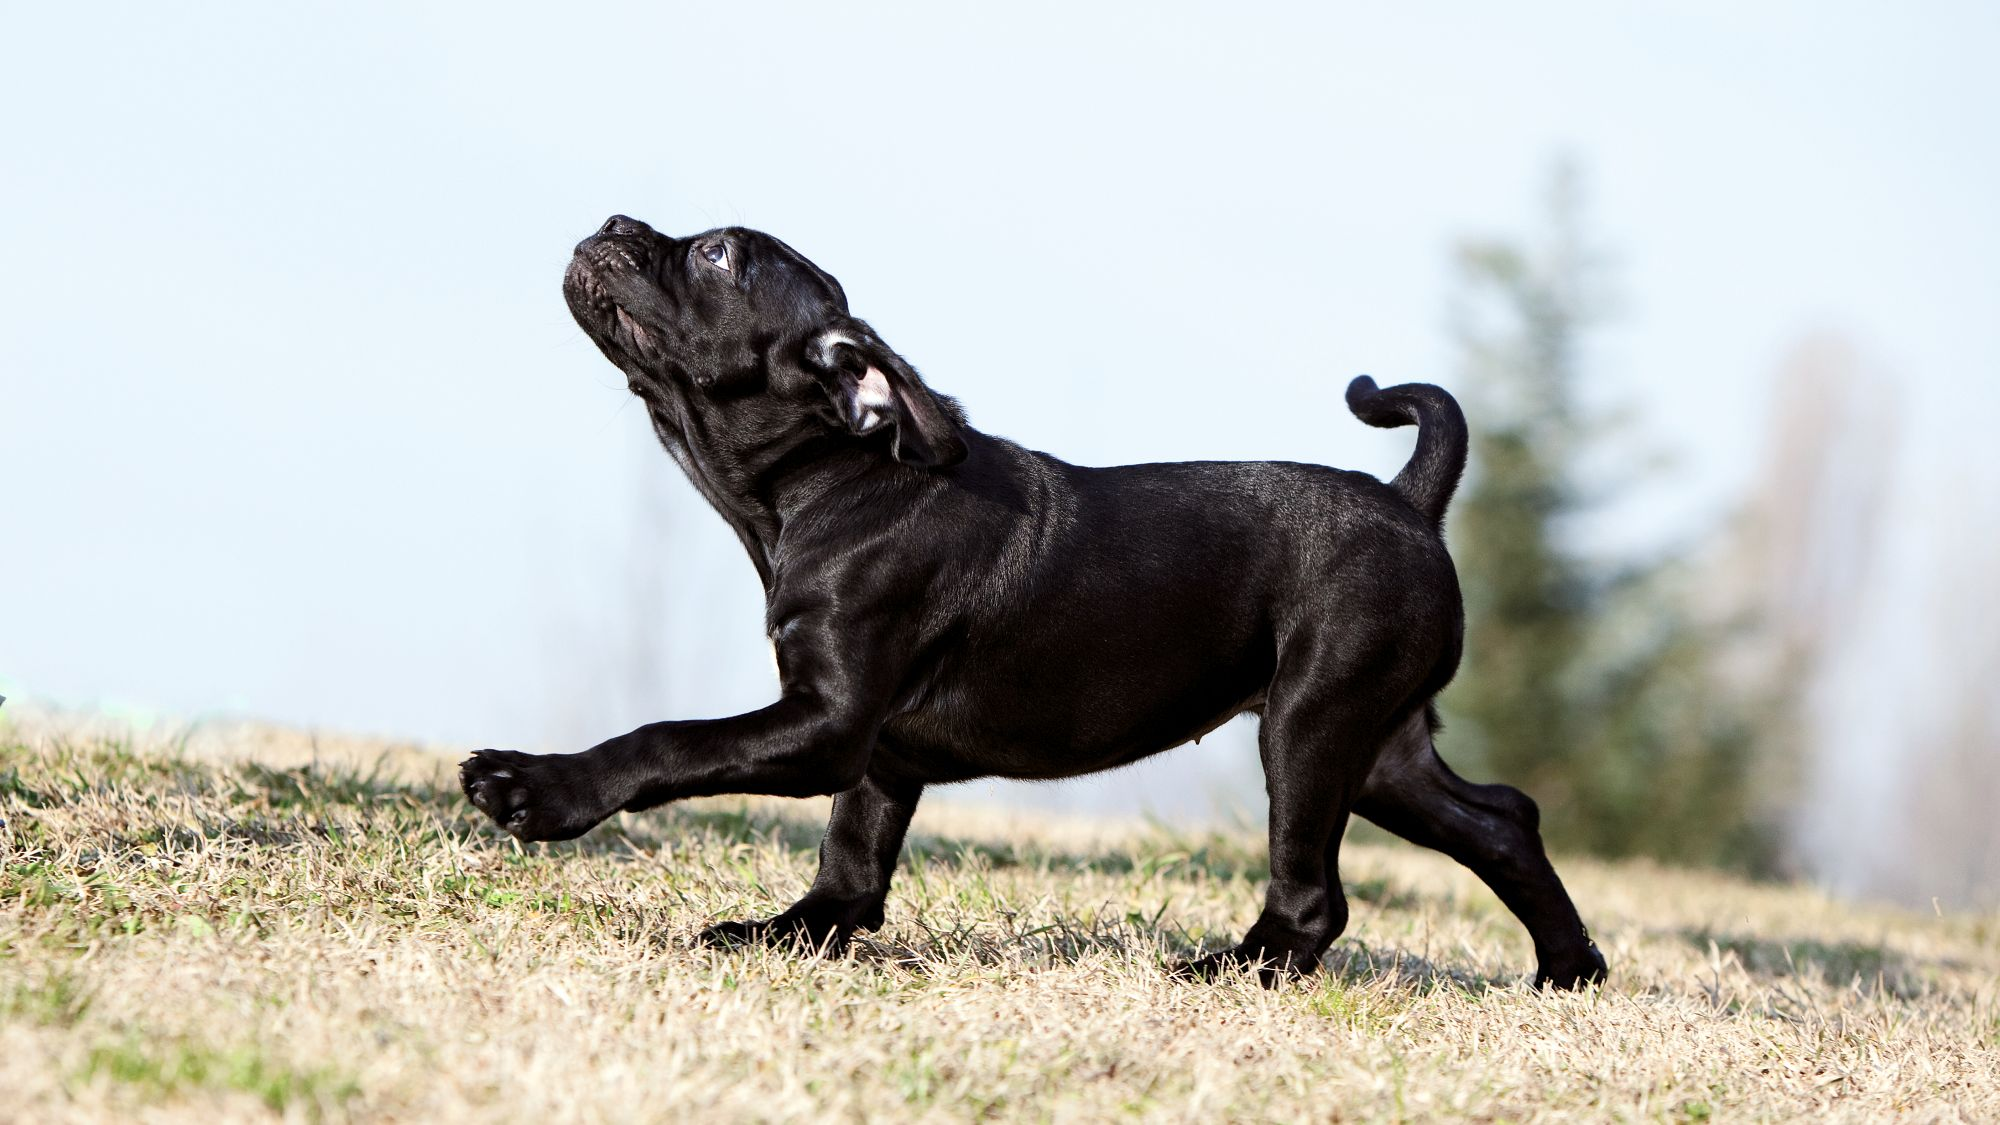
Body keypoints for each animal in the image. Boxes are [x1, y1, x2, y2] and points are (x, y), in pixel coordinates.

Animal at [458, 214, 1608, 984]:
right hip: (1380, 747)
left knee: (1317, 894)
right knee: (1502, 819)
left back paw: (1231, 969)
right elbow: (851, 855)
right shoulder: (870, 747)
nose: (614, 222)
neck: (836, 478)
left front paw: (535, 786)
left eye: (715, 258)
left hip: (1312, 725)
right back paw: (1569, 970)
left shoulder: (825, 721)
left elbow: (669, 741)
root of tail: (1408, 501)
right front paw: (795, 932)